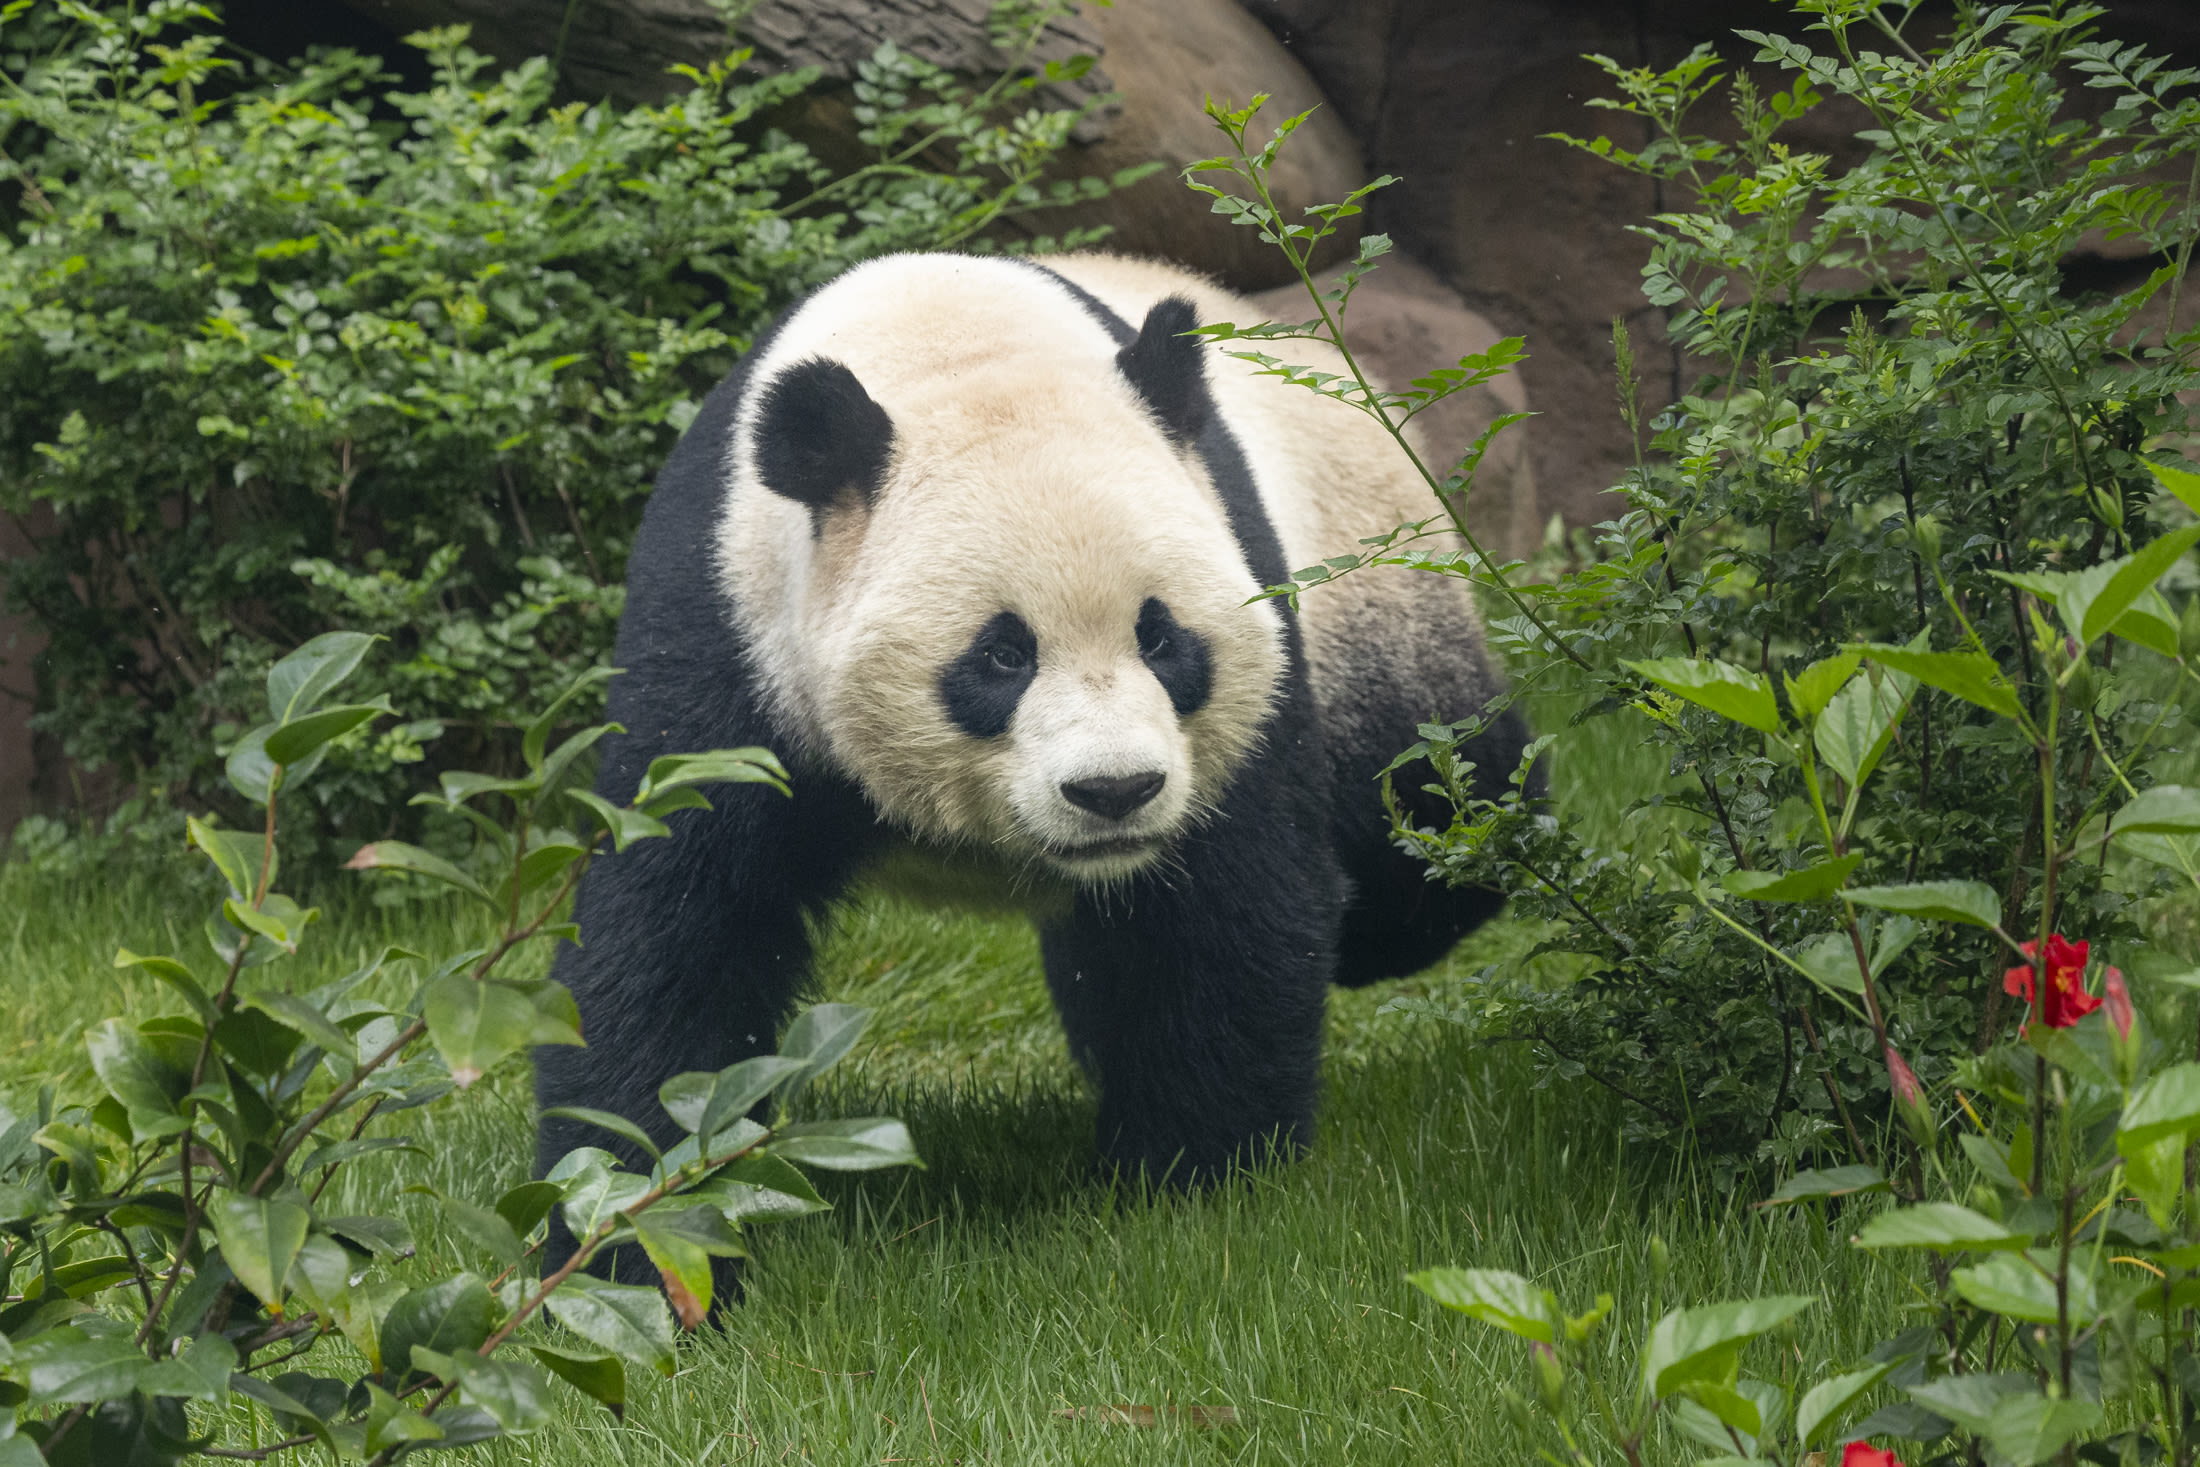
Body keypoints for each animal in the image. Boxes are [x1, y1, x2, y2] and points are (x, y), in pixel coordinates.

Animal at [532, 252, 1531, 1205]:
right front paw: (631, 1212)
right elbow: (681, 925)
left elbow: (1227, 913)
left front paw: (1191, 1179)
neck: (951, 343)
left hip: (1374, 596)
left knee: (1434, 815)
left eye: (1160, 637)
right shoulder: (729, 631)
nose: (1115, 792)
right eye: (1002, 655)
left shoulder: (1247, 634)